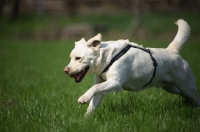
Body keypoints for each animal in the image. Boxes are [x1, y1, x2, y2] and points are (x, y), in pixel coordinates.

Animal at [64, 18, 200, 115]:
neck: (106, 58)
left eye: (78, 58)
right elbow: (93, 103)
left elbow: (94, 88)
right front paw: (85, 120)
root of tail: (173, 51)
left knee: (196, 97)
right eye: (70, 57)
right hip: (172, 88)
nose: (65, 70)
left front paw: (83, 98)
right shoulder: (102, 85)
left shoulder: (115, 82)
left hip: (186, 87)